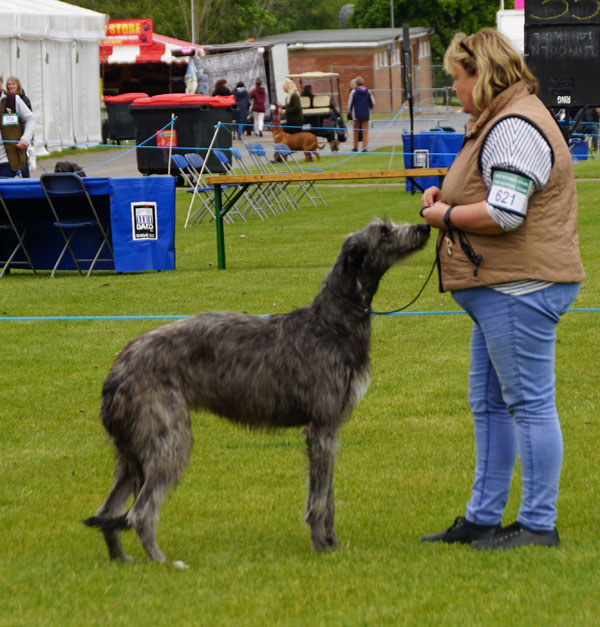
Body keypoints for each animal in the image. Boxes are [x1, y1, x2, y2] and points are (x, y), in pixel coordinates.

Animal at [85, 218, 432, 568]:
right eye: (384, 231)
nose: (424, 227)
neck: (332, 323)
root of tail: (118, 369)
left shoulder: (330, 431)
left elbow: (329, 497)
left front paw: (332, 544)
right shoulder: (321, 427)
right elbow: (319, 500)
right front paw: (321, 547)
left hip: (131, 449)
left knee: (109, 511)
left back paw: (122, 560)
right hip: (168, 437)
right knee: (140, 512)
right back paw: (163, 563)